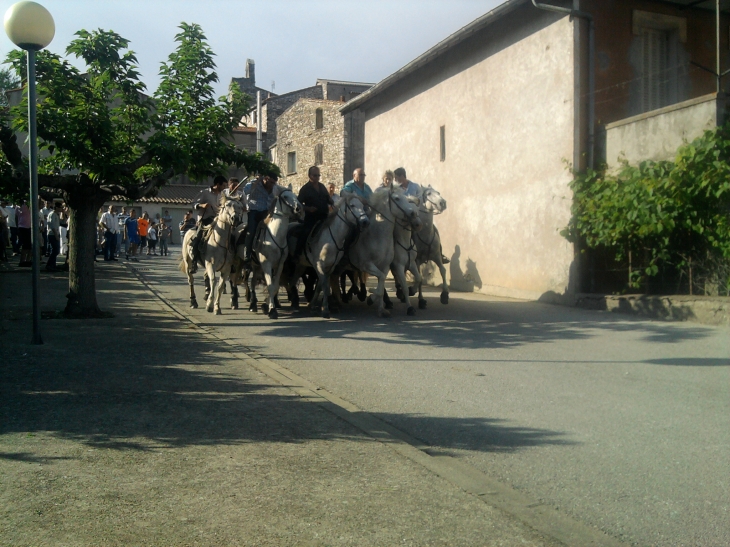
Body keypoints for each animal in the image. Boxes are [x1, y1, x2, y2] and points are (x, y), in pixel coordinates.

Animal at [246, 186, 300, 318]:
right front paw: (272, 310)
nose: (299, 208)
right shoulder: (267, 264)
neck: (275, 235)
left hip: (258, 267)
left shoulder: (279, 265)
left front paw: (269, 306)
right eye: (285, 197)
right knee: (250, 283)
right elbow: (270, 286)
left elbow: (275, 286)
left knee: (254, 282)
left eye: (295, 195)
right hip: (252, 265)